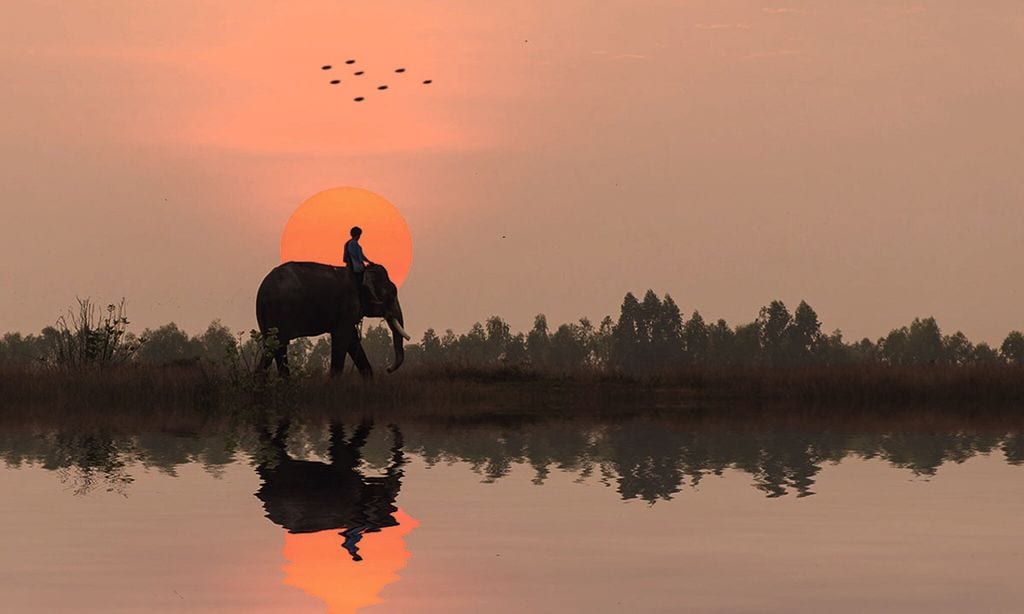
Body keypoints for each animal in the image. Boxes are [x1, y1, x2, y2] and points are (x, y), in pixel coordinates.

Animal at [253, 260, 409, 376]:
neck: (360, 272)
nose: (388, 369)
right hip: (279, 311)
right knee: (276, 346)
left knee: (274, 347)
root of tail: (262, 290)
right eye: (391, 294)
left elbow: (353, 340)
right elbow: (342, 338)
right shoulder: (346, 307)